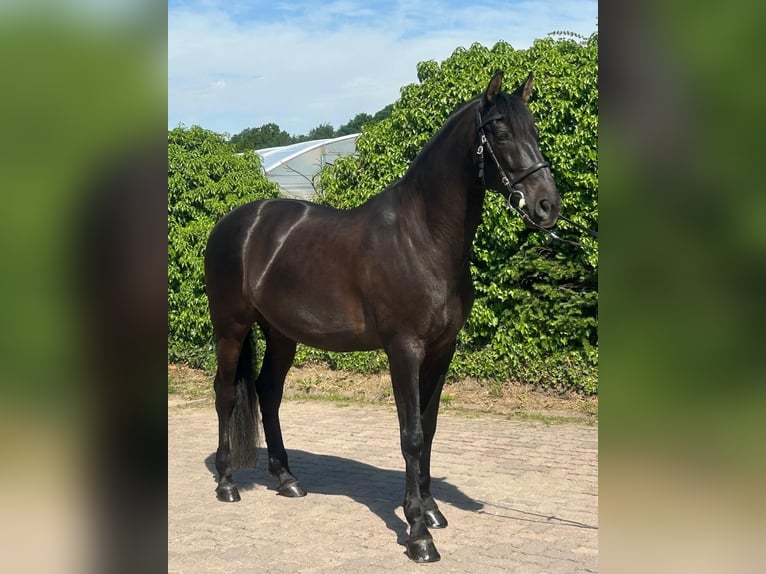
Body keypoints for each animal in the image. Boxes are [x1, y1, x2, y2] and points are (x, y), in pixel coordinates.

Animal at [204, 71, 561, 563]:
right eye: (502, 133)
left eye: (536, 133)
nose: (549, 206)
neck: (422, 237)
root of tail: (235, 223)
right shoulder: (404, 350)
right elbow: (411, 434)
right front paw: (418, 533)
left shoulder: (442, 349)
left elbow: (429, 428)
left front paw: (431, 510)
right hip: (231, 328)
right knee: (225, 394)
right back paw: (226, 483)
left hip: (281, 333)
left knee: (268, 392)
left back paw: (288, 480)